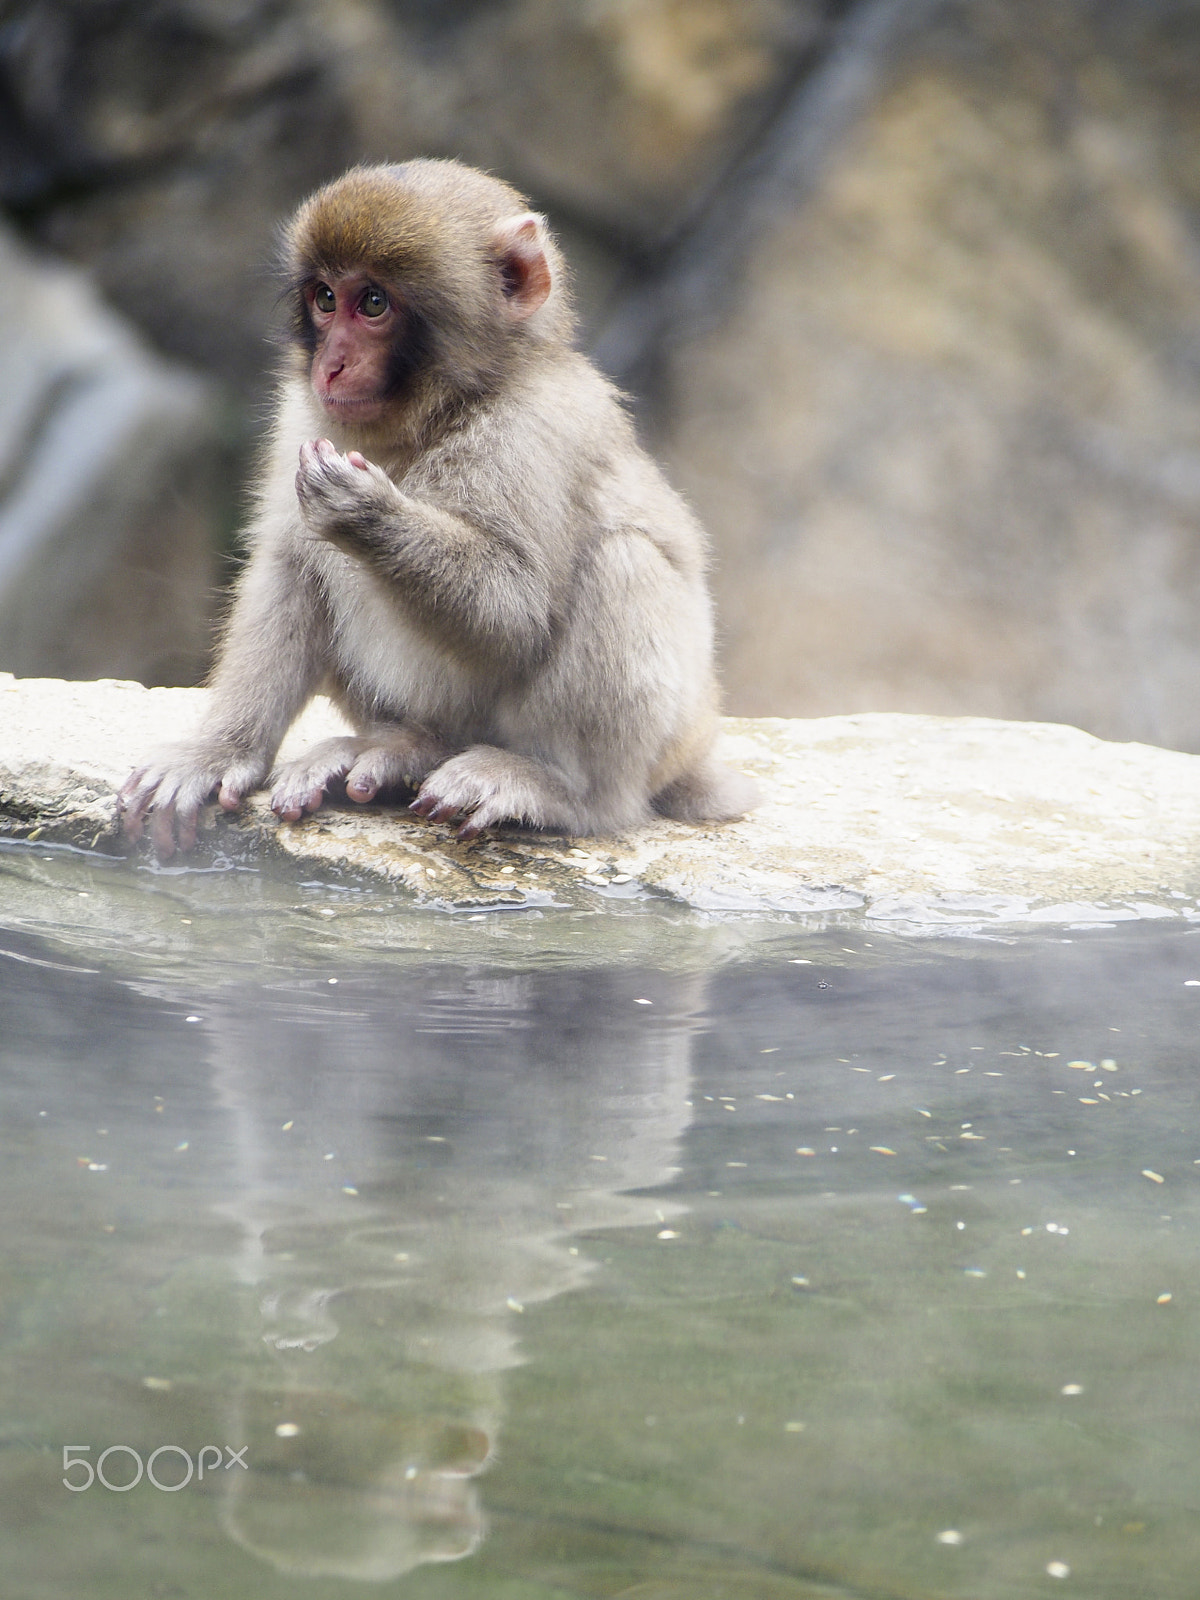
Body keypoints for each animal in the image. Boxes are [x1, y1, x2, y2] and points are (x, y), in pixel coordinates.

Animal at [119, 159, 758, 858]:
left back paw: (563, 789)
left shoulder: (532, 432)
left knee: (623, 561)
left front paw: (366, 513)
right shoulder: (301, 419)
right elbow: (288, 567)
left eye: (373, 303)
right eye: (325, 298)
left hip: (663, 743)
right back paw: (407, 747)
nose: (330, 364)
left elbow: (516, 613)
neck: (439, 413)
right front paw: (219, 752)